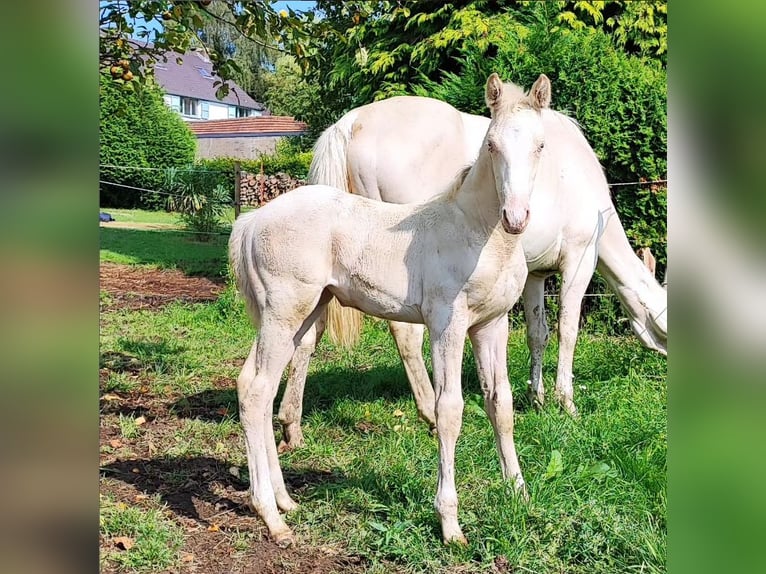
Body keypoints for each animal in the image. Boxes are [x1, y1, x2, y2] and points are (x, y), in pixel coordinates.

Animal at [230, 74, 552, 548]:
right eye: (491, 145)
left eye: (540, 145)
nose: (516, 217)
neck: (477, 232)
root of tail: (252, 219)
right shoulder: (447, 324)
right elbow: (449, 409)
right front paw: (450, 523)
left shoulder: (491, 325)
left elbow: (502, 404)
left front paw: (520, 493)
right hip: (283, 312)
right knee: (255, 391)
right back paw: (271, 517)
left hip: (299, 316)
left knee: (258, 386)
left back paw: (286, 500)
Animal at [276, 79, 664, 452]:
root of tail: (351, 122)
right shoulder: (578, 261)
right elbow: (567, 331)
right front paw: (564, 402)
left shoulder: (534, 275)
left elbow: (537, 333)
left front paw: (536, 397)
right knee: (405, 335)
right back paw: (429, 410)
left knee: (308, 333)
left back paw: (291, 424)